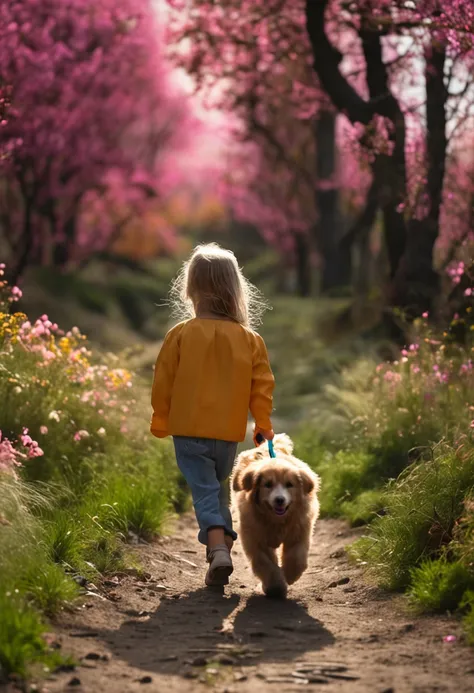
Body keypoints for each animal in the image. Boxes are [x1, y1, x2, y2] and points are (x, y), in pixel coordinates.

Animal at [231, 436, 320, 596]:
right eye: (267, 484)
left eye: (289, 484)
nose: (279, 500)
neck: (277, 521)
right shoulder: (255, 538)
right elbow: (265, 563)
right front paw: (275, 587)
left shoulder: (299, 530)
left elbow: (296, 556)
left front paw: (290, 575)